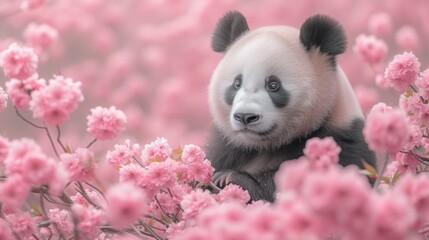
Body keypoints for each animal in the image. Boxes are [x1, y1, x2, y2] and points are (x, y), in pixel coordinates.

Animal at [205, 11, 374, 202]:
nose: (245, 116)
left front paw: (231, 179)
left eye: (273, 85)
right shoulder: (227, 147)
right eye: (236, 83)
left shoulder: (342, 140)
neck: (266, 146)